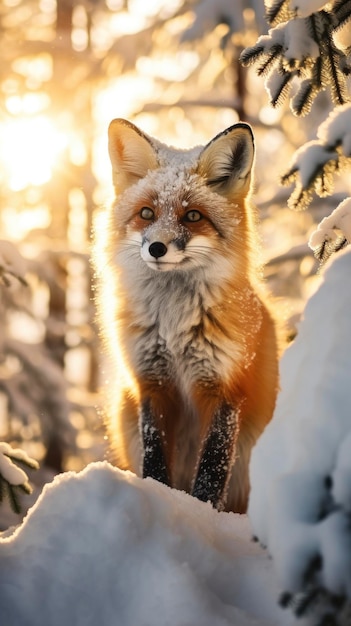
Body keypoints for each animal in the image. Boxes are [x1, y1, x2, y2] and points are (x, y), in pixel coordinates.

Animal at [95, 117, 282, 512]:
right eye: (147, 213)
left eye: (193, 216)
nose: (156, 247)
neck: (174, 327)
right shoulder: (152, 383)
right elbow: (154, 459)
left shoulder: (226, 387)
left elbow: (212, 469)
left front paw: (203, 515)